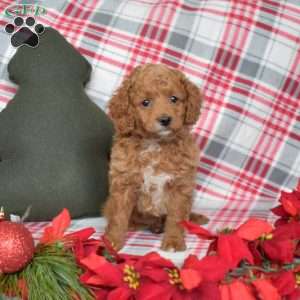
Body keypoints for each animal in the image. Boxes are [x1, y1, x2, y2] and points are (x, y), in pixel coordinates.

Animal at [103, 64, 206, 252]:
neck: (155, 143)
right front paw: (112, 241)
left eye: (174, 99)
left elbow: (176, 217)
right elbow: (118, 217)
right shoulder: (124, 183)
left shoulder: (180, 185)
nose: (165, 119)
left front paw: (174, 242)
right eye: (145, 102)